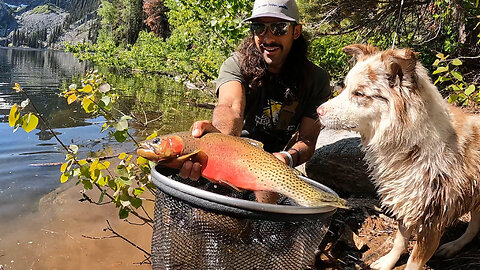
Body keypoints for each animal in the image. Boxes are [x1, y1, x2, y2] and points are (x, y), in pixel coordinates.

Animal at [318, 43, 480, 268]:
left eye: (359, 93)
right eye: (344, 86)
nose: (318, 111)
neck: (412, 145)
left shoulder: (431, 224)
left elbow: (413, 262)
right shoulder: (405, 203)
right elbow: (399, 241)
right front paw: (387, 262)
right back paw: (453, 246)